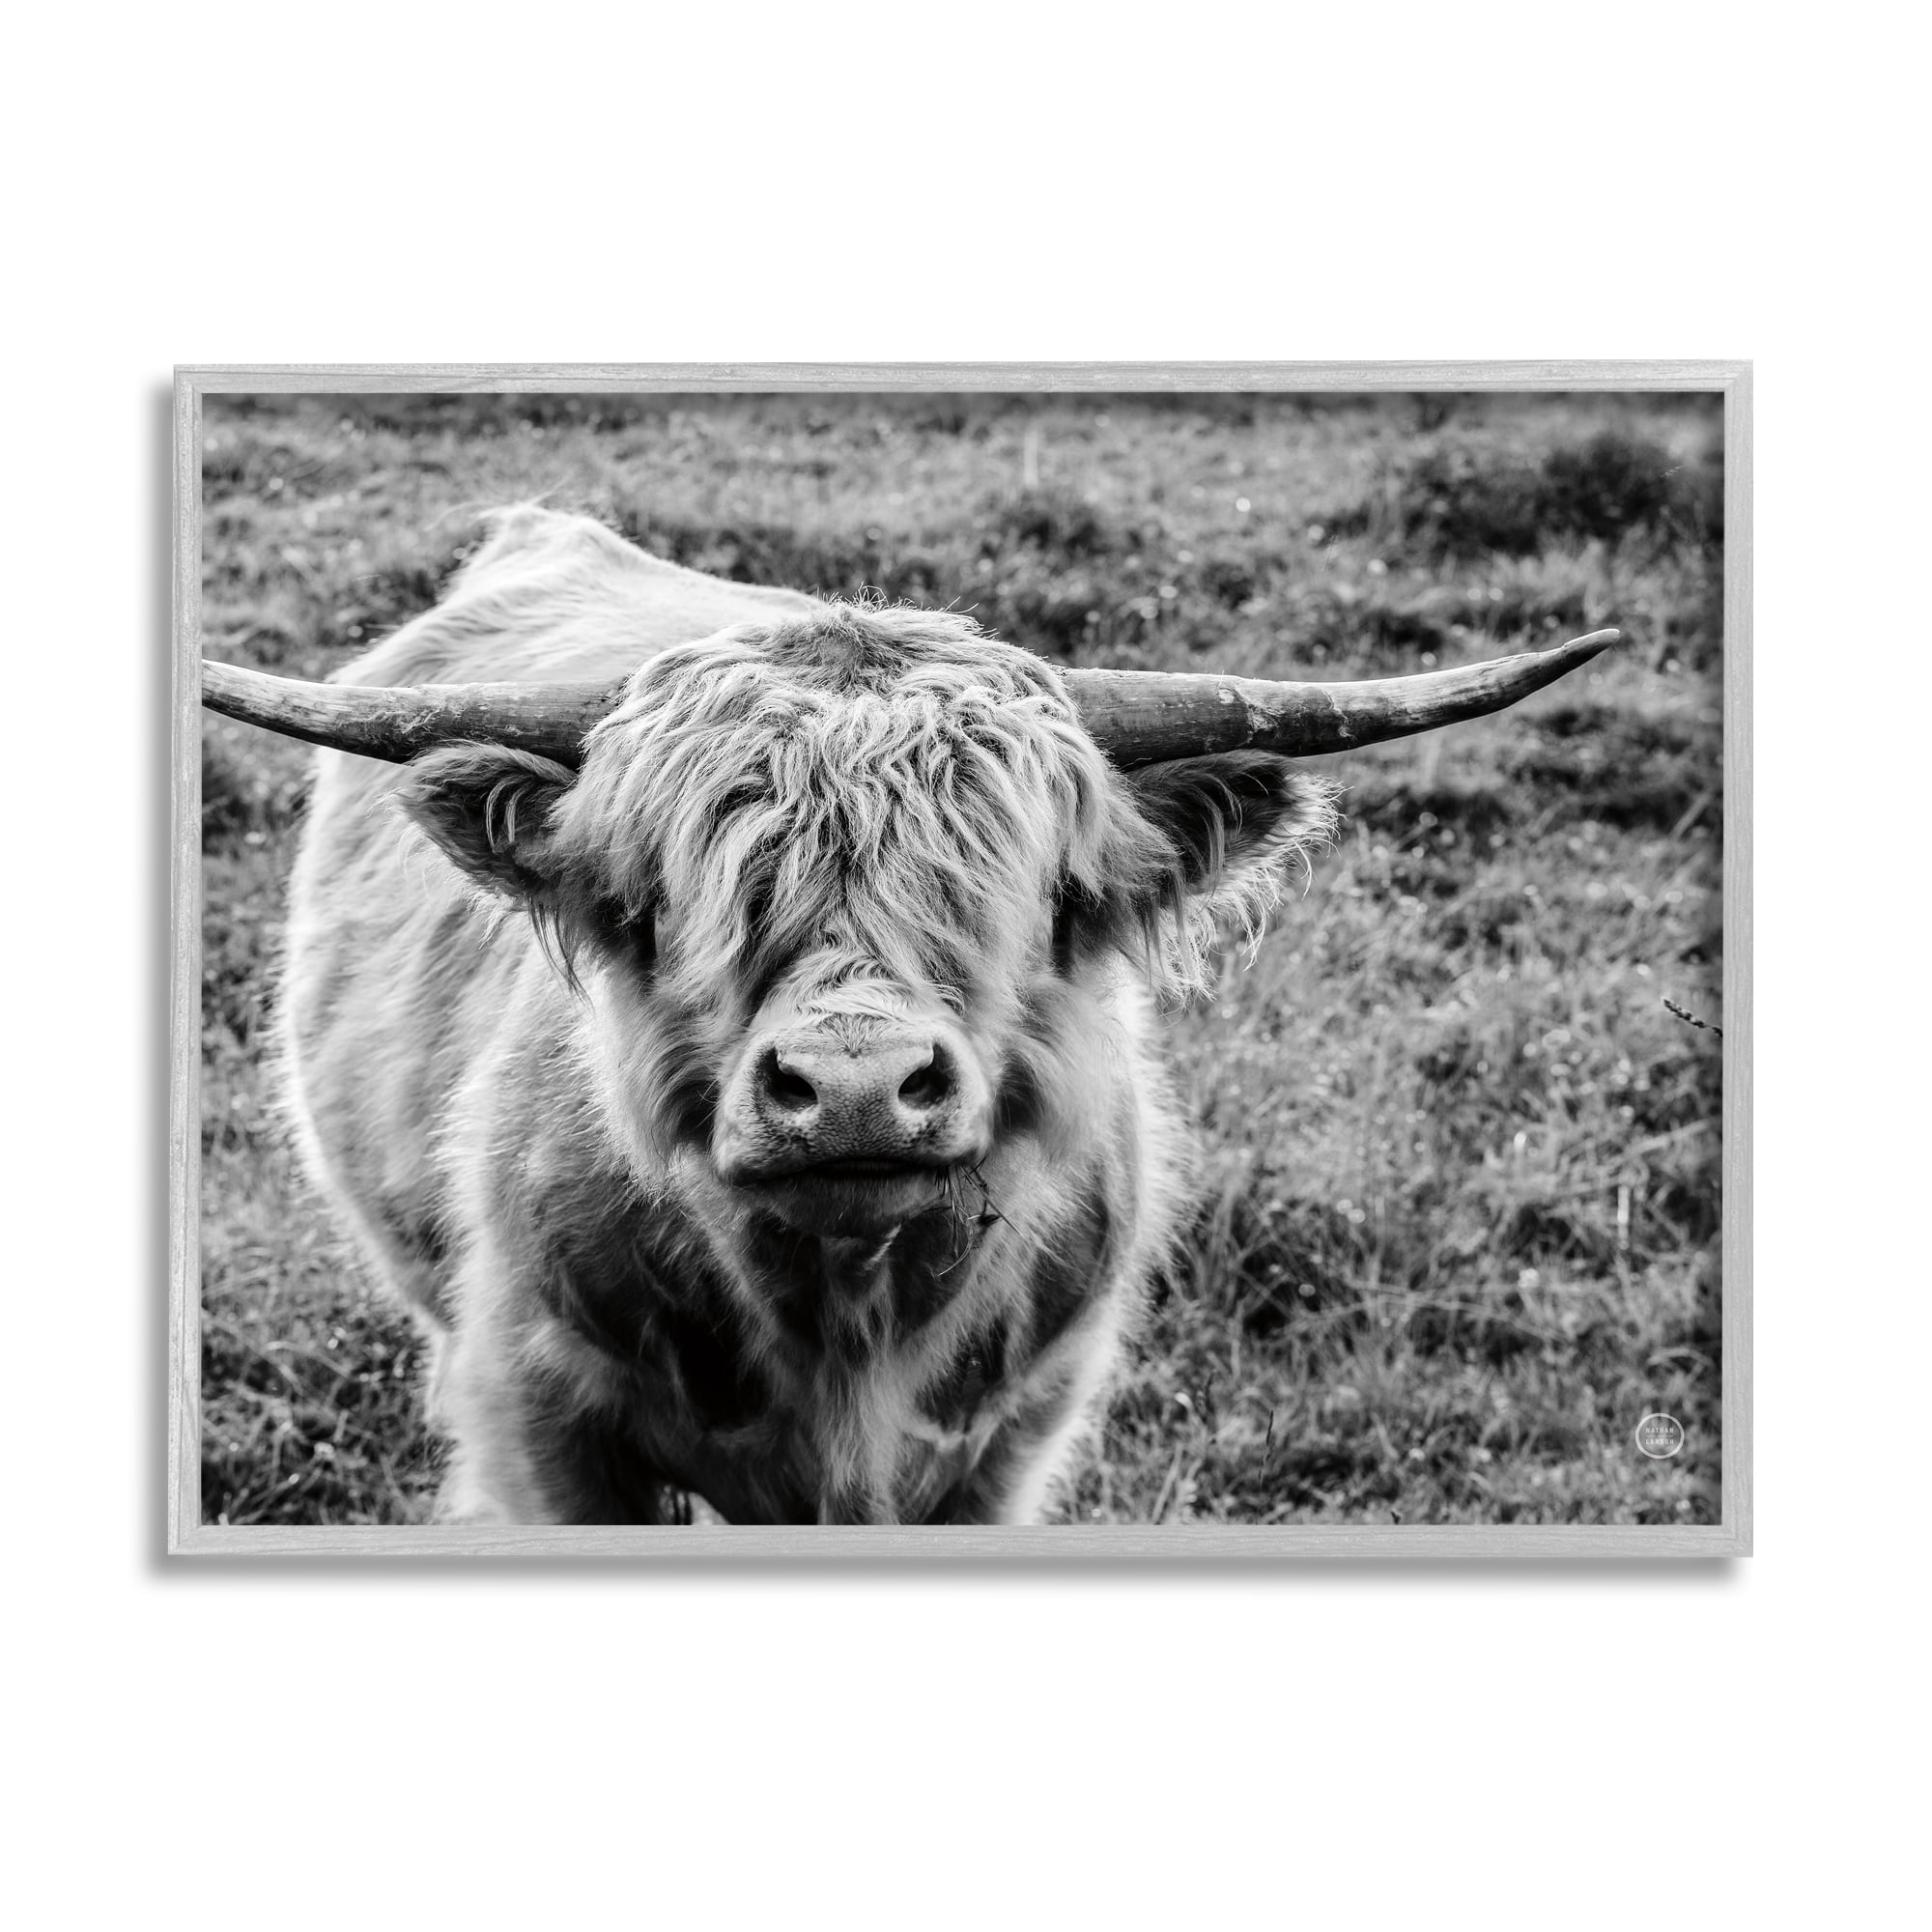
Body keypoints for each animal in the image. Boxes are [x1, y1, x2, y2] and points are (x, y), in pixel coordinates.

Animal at [202, 505, 1614, 1526]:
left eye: (1032, 890)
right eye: (678, 892)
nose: (854, 1088)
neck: (843, 1327)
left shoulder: (1010, 1439)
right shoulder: (542, 1415)